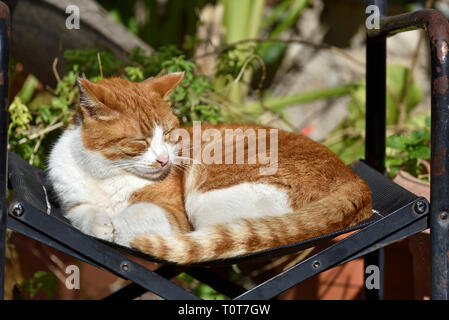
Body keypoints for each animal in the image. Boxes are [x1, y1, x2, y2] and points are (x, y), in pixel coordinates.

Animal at [47, 72, 372, 262]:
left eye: (168, 133)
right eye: (140, 140)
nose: (164, 159)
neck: (107, 174)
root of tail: (357, 182)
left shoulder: (173, 216)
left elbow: (137, 217)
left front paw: (117, 227)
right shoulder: (72, 203)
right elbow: (83, 214)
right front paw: (100, 223)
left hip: (206, 204)